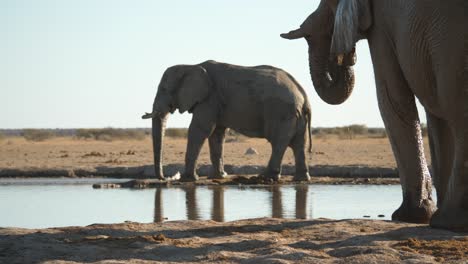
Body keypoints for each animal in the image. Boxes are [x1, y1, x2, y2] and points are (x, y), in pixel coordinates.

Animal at [141, 60, 312, 183]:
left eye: (164, 89)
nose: (165, 178)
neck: (191, 66)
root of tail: (303, 95)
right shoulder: (215, 102)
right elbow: (217, 134)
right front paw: (219, 177)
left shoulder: (209, 98)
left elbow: (200, 129)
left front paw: (187, 179)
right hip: (295, 116)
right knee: (299, 144)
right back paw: (301, 179)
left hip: (281, 112)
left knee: (278, 143)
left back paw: (266, 178)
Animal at [280, 0, 466, 231]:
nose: (345, 56)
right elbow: (432, 115)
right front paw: (419, 215)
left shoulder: (383, 26)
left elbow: (391, 97)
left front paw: (409, 216)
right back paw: (451, 221)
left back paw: (448, 221)